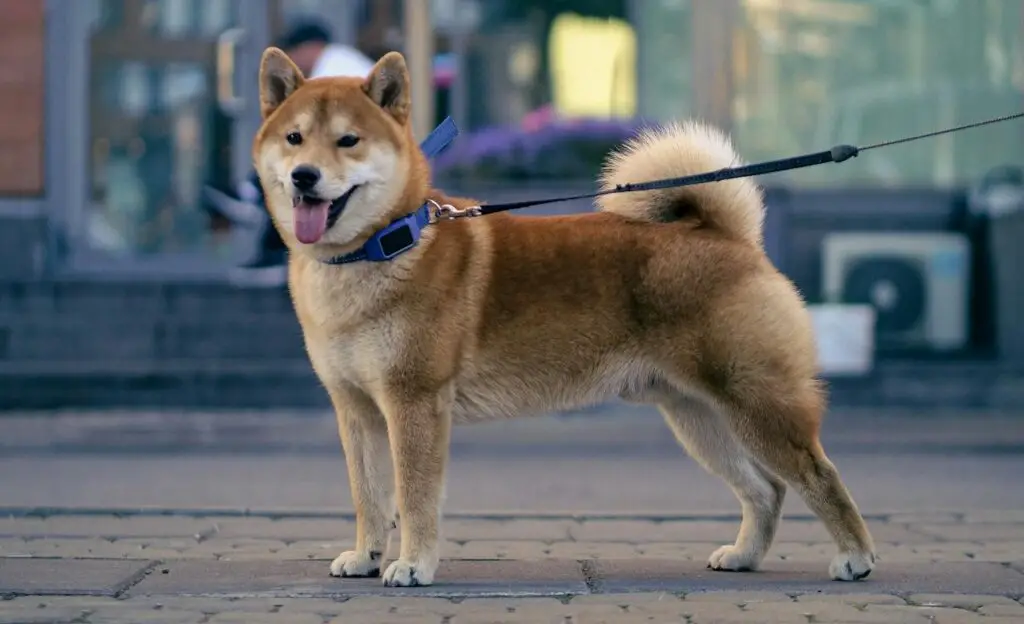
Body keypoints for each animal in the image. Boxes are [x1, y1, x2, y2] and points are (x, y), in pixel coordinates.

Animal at [251, 47, 876, 581]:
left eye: (349, 140)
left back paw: (855, 557)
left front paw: (411, 565)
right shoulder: (356, 410)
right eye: (294, 138)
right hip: (696, 417)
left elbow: (413, 495)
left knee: (817, 474)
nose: (305, 175)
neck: (381, 248)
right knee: (765, 489)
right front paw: (364, 556)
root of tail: (727, 235)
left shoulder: (414, 402)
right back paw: (745, 555)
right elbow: (368, 496)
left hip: (753, 401)